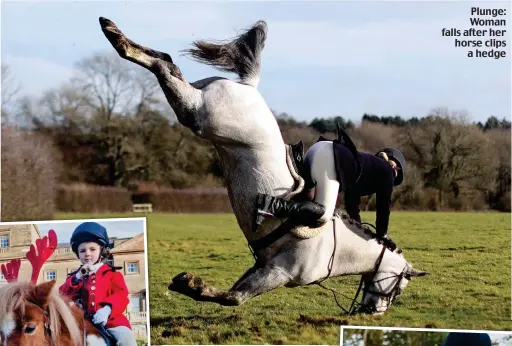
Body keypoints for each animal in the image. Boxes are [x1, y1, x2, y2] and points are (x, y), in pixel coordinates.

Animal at [99, 17, 428, 314]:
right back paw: (116, 37)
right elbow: (233, 298)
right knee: (166, 69)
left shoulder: (264, 265)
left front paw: (190, 284)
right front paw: (189, 284)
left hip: (201, 104)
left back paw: (114, 31)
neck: (336, 250)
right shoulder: (279, 271)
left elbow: (235, 293)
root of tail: (249, 85)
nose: (374, 312)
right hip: (201, 115)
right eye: (399, 286)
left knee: (168, 62)